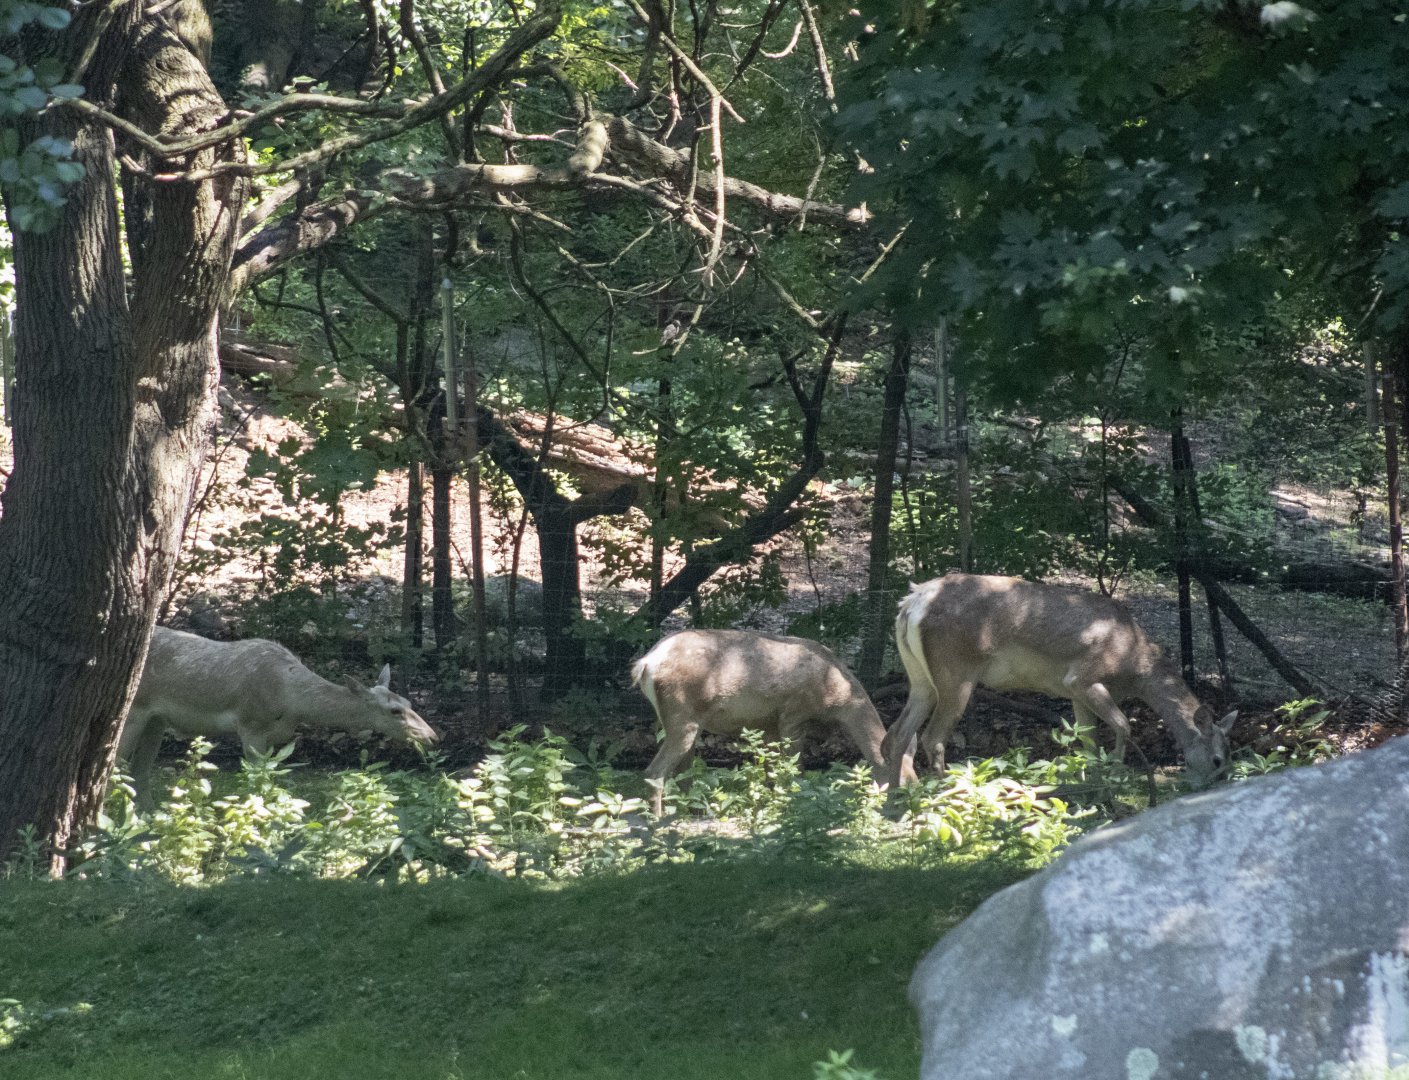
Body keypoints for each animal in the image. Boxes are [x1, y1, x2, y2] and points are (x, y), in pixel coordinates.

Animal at [118, 627, 439, 807]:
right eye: (394, 711)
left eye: (409, 701)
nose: (432, 736)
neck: (290, 700)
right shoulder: (250, 725)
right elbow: (255, 783)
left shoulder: (276, 736)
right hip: (135, 709)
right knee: (117, 764)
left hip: (156, 719)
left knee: (139, 770)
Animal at [631, 628, 913, 816]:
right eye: (902, 782)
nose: (910, 808)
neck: (836, 699)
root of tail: (645, 664)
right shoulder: (793, 715)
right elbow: (794, 767)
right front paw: (793, 801)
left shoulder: (767, 725)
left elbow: (770, 770)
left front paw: (771, 802)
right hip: (681, 717)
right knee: (654, 771)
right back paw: (657, 820)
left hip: (689, 722)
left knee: (684, 771)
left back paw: (696, 812)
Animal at [880, 573, 1237, 790]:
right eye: (1218, 760)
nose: (1209, 786)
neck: (1134, 665)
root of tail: (912, 603)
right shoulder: (1082, 677)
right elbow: (1123, 725)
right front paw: (1116, 771)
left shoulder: (1075, 695)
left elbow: (1088, 740)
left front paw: (1095, 778)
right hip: (956, 673)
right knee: (932, 738)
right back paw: (948, 792)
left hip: (920, 677)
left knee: (897, 733)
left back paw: (894, 794)